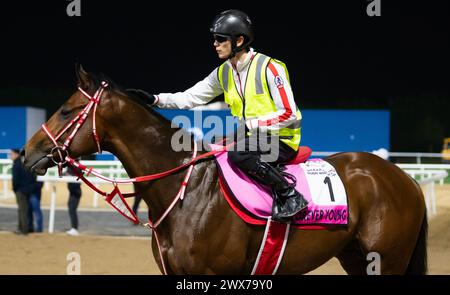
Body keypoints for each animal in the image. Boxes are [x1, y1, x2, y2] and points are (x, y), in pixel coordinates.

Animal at [22, 66, 428, 276]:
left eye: (66, 110)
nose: (27, 154)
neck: (183, 190)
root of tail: (402, 178)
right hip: (356, 258)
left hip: (387, 260)